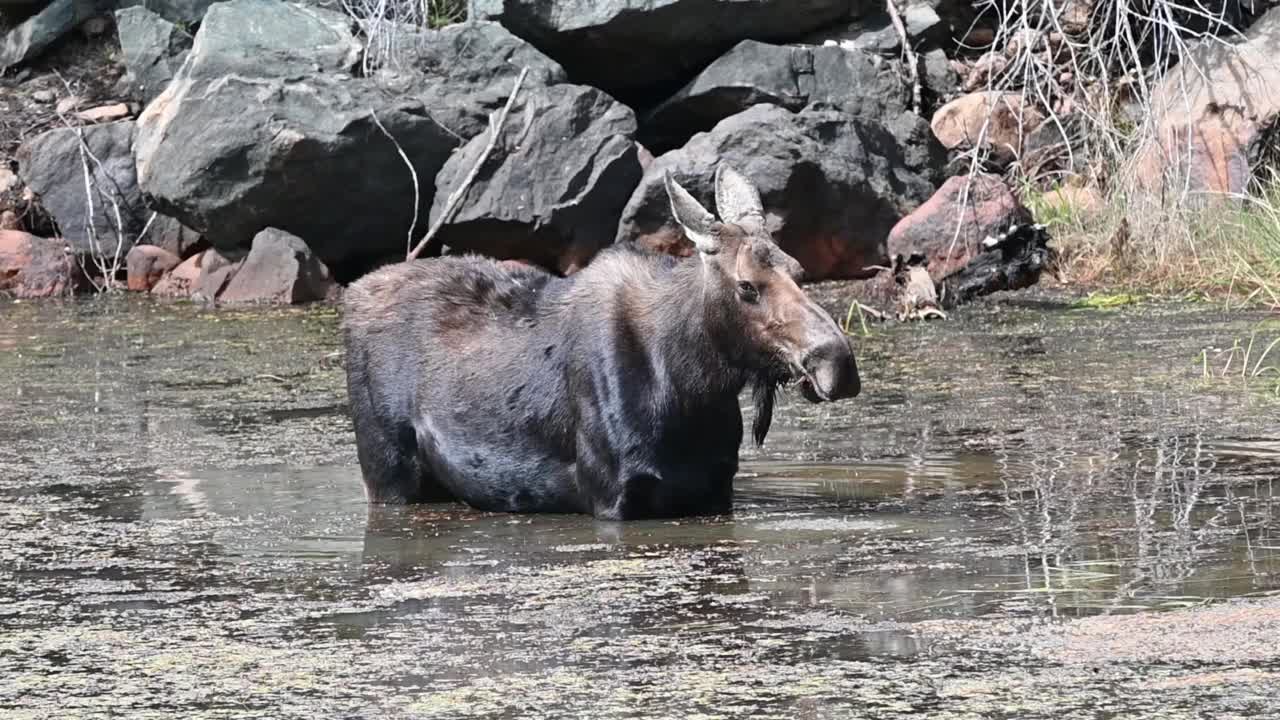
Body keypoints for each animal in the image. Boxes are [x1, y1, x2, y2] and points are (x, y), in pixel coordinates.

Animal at [340, 165, 860, 517]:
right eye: (747, 286)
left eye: (798, 269)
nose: (838, 364)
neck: (693, 385)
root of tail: (350, 295)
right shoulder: (613, 496)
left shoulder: (716, 490)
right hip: (386, 473)